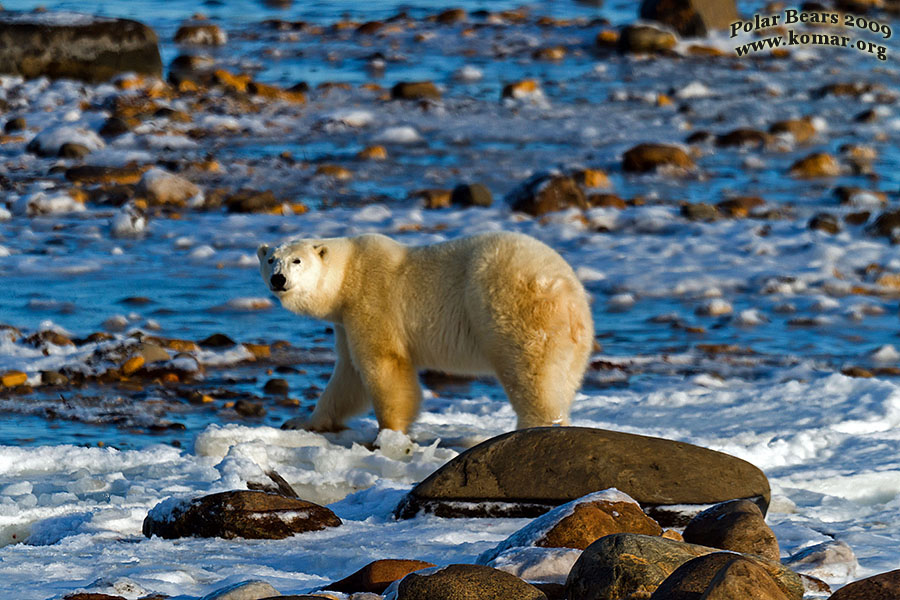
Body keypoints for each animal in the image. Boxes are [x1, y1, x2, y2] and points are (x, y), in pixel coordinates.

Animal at [256, 232, 596, 434]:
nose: (278, 279)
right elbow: (348, 376)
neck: (350, 272)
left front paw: (389, 433)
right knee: (561, 379)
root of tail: (568, 289)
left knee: (530, 372)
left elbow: (383, 365)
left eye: (297, 260)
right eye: (271, 259)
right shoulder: (345, 320)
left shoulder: (372, 301)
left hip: (511, 305)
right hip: (573, 340)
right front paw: (304, 421)